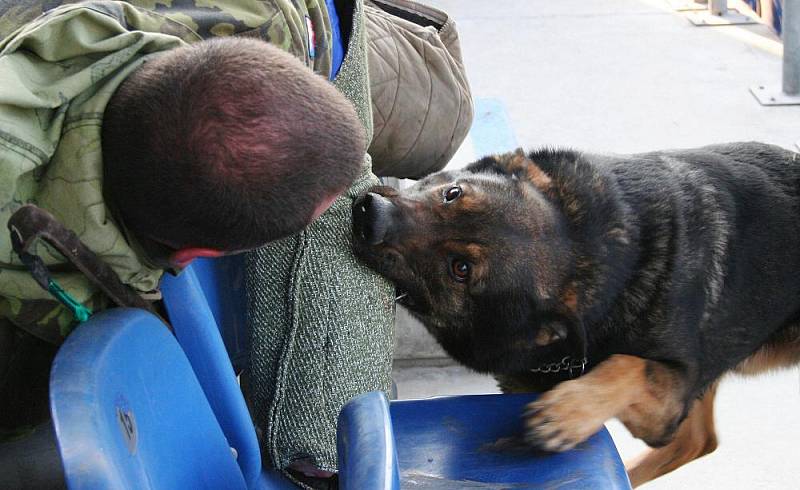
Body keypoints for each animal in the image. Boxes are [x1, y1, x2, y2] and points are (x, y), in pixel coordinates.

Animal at [354, 142, 800, 486]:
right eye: (452, 193)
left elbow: (627, 363)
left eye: (460, 268)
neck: (593, 253)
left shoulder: (669, 401)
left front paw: (568, 412)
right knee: (696, 441)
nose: (368, 212)